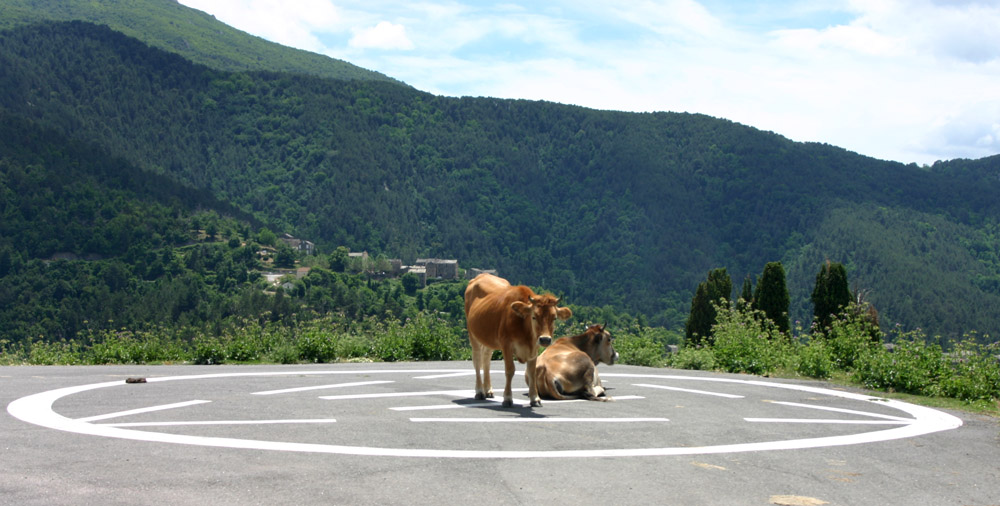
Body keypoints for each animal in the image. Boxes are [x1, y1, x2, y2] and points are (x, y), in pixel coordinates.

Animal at [466, 272, 576, 408]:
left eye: (554, 318)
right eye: (534, 316)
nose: (545, 339)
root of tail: (482, 275)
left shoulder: (534, 348)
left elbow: (532, 372)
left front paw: (535, 398)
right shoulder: (506, 344)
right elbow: (509, 370)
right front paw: (507, 398)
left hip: (488, 338)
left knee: (486, 359)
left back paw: (488, 390)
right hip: (473, 334)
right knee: (477, 360)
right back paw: (480, 391)